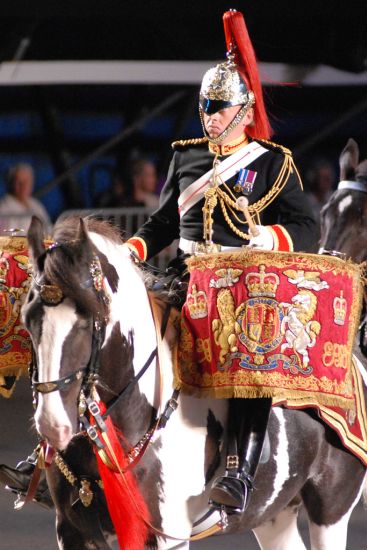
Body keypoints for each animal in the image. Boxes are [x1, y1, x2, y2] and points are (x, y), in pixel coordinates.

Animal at [23, 216, 367, 550]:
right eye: (28, 319)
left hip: (332, 508)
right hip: (273, 514)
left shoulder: (166, 533)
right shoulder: (73, 530)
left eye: (89, 318)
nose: (53, 424)